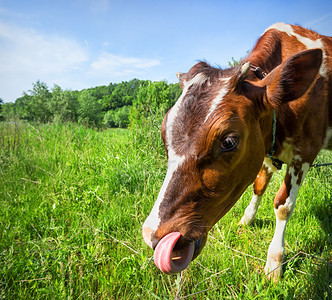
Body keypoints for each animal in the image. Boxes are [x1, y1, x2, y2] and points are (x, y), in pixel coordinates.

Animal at [143, 22, 332, 282]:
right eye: (164, 133)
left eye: (229, 141)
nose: (152, 234)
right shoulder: (263, 147)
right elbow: (259, 185)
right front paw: (247, 219)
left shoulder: (305, 152)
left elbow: (283, 205)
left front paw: (275, 261)